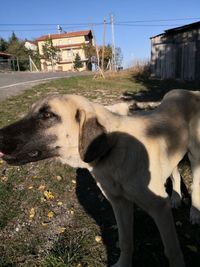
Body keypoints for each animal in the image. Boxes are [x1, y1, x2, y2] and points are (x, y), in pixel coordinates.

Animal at [0, 89, 200, 266]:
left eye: (47, 115)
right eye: (29, 111)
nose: (0, 135)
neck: (112, 150)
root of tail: (189, 91)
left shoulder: (159, 209)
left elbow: (172, 251)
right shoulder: (119, 203)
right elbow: (126, 242)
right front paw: (123, 264)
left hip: (195, 156)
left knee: (195, 185)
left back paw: (195, 213)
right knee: (175, 174)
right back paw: (175, 198)